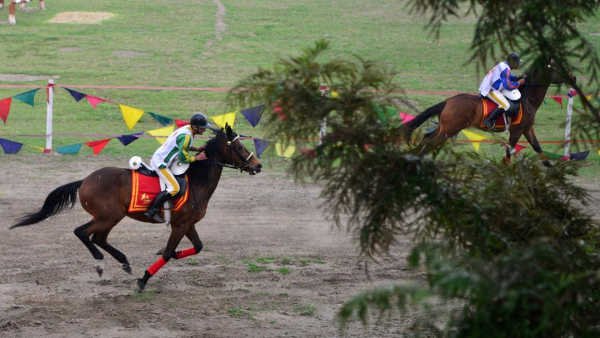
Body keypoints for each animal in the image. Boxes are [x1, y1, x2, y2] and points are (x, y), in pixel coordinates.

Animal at [10, 125, 262, 292]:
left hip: (110, 217)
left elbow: (197, 247)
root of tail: (85, 181)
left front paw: (171, 254)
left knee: (98, 238)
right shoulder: (179, 225)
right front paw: (144, 279)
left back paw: (123, 262)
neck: (197, 182)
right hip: (109, 216)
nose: (258, 165)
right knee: (83, 233)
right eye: (239, 146)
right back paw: (100, 263)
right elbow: (169, 253)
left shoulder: (187, 224)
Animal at [406, 59, 576, 165]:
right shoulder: (517, 130)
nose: (573, 78)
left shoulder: (527, 129)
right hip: (449, 130)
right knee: (430, 142)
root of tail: (448, 101)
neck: (528, 98)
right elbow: (509, 152)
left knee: (427, 139)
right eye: (559, 67)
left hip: (445, 128)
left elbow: (538, 148)